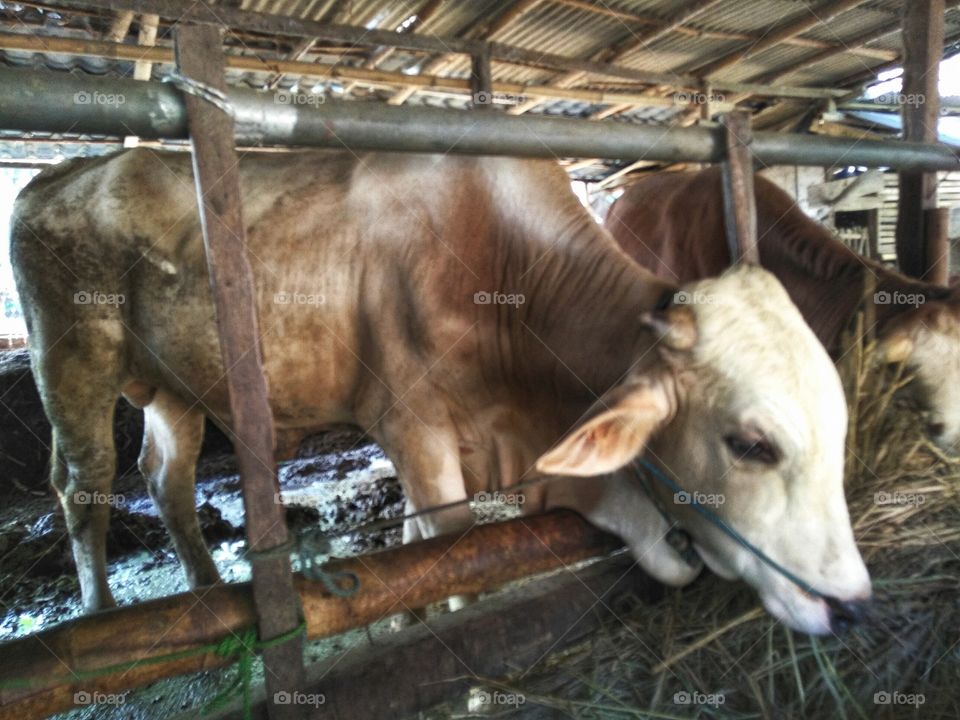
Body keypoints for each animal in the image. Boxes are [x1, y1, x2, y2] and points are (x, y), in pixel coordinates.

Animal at [11, 149, 869, 635]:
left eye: (840, 428)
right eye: (751, 445)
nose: (851, 602)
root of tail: (53, 175)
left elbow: (418, 534)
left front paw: (410, 607)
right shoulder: (413, 424)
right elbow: (449, 537)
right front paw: (446, 613)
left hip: (174, 389)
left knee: (166, 479)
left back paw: (205, 592)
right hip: (74, 363)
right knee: (83, 485)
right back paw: (98, 618)